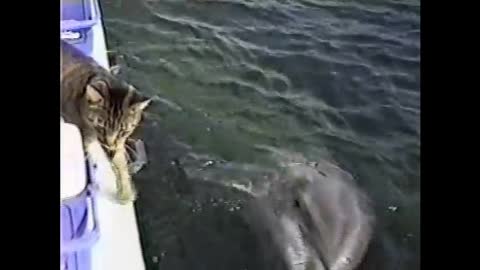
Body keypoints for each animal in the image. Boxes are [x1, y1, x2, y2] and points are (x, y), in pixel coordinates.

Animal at [61, 40, 152, 204]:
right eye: (101, 125)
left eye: (124, 130)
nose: (110, 144)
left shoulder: (119, 143)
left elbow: (121, 162)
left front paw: (126, 191)